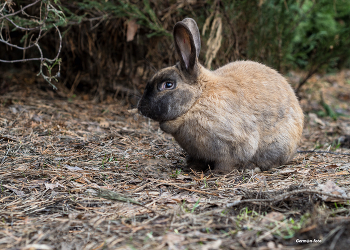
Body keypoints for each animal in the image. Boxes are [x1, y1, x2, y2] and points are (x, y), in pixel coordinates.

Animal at [137, 18, 304, 174]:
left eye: (168, 85)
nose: (140, 108)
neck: (197, 100)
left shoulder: (233, 144)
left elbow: (228, 162)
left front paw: (217, 172)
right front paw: (192, 167)